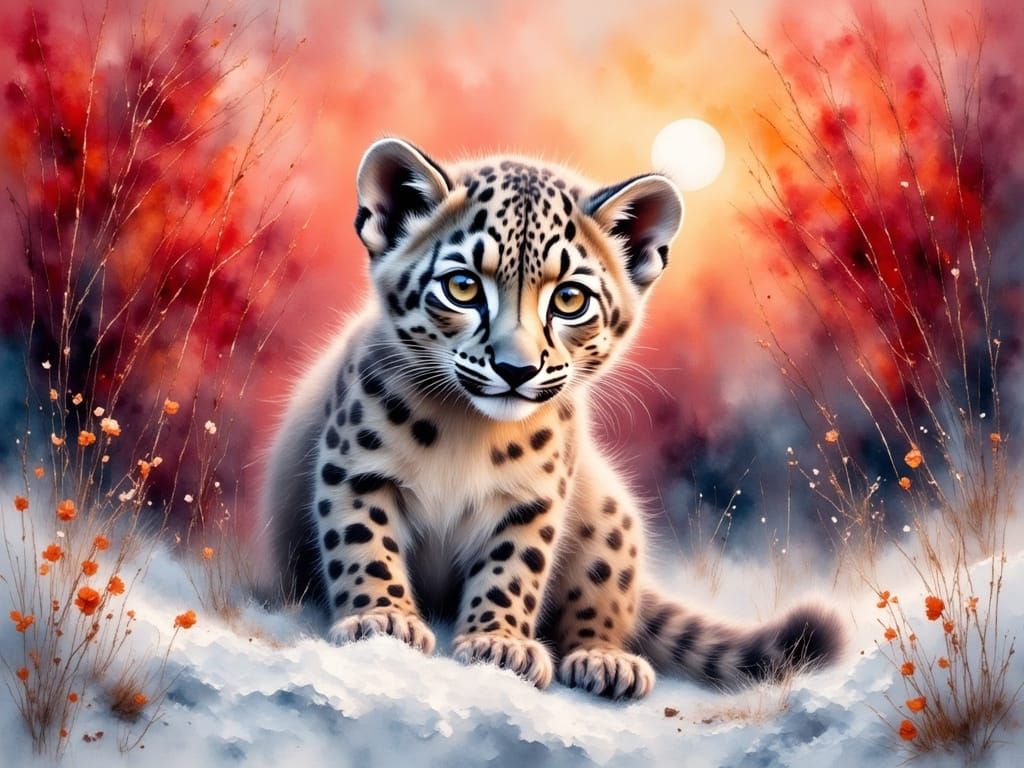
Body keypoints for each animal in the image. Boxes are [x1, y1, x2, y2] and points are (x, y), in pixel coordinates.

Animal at [262, 138, 843, 699]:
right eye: (463, 287)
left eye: (569, 298)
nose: (515, 368)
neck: (466, 429)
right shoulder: (358, 470)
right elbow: (364, 543)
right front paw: (382, 619)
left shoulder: (533, 498)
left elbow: (514, 568)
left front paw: (499, 644)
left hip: (609, 512)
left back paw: (604, 660)